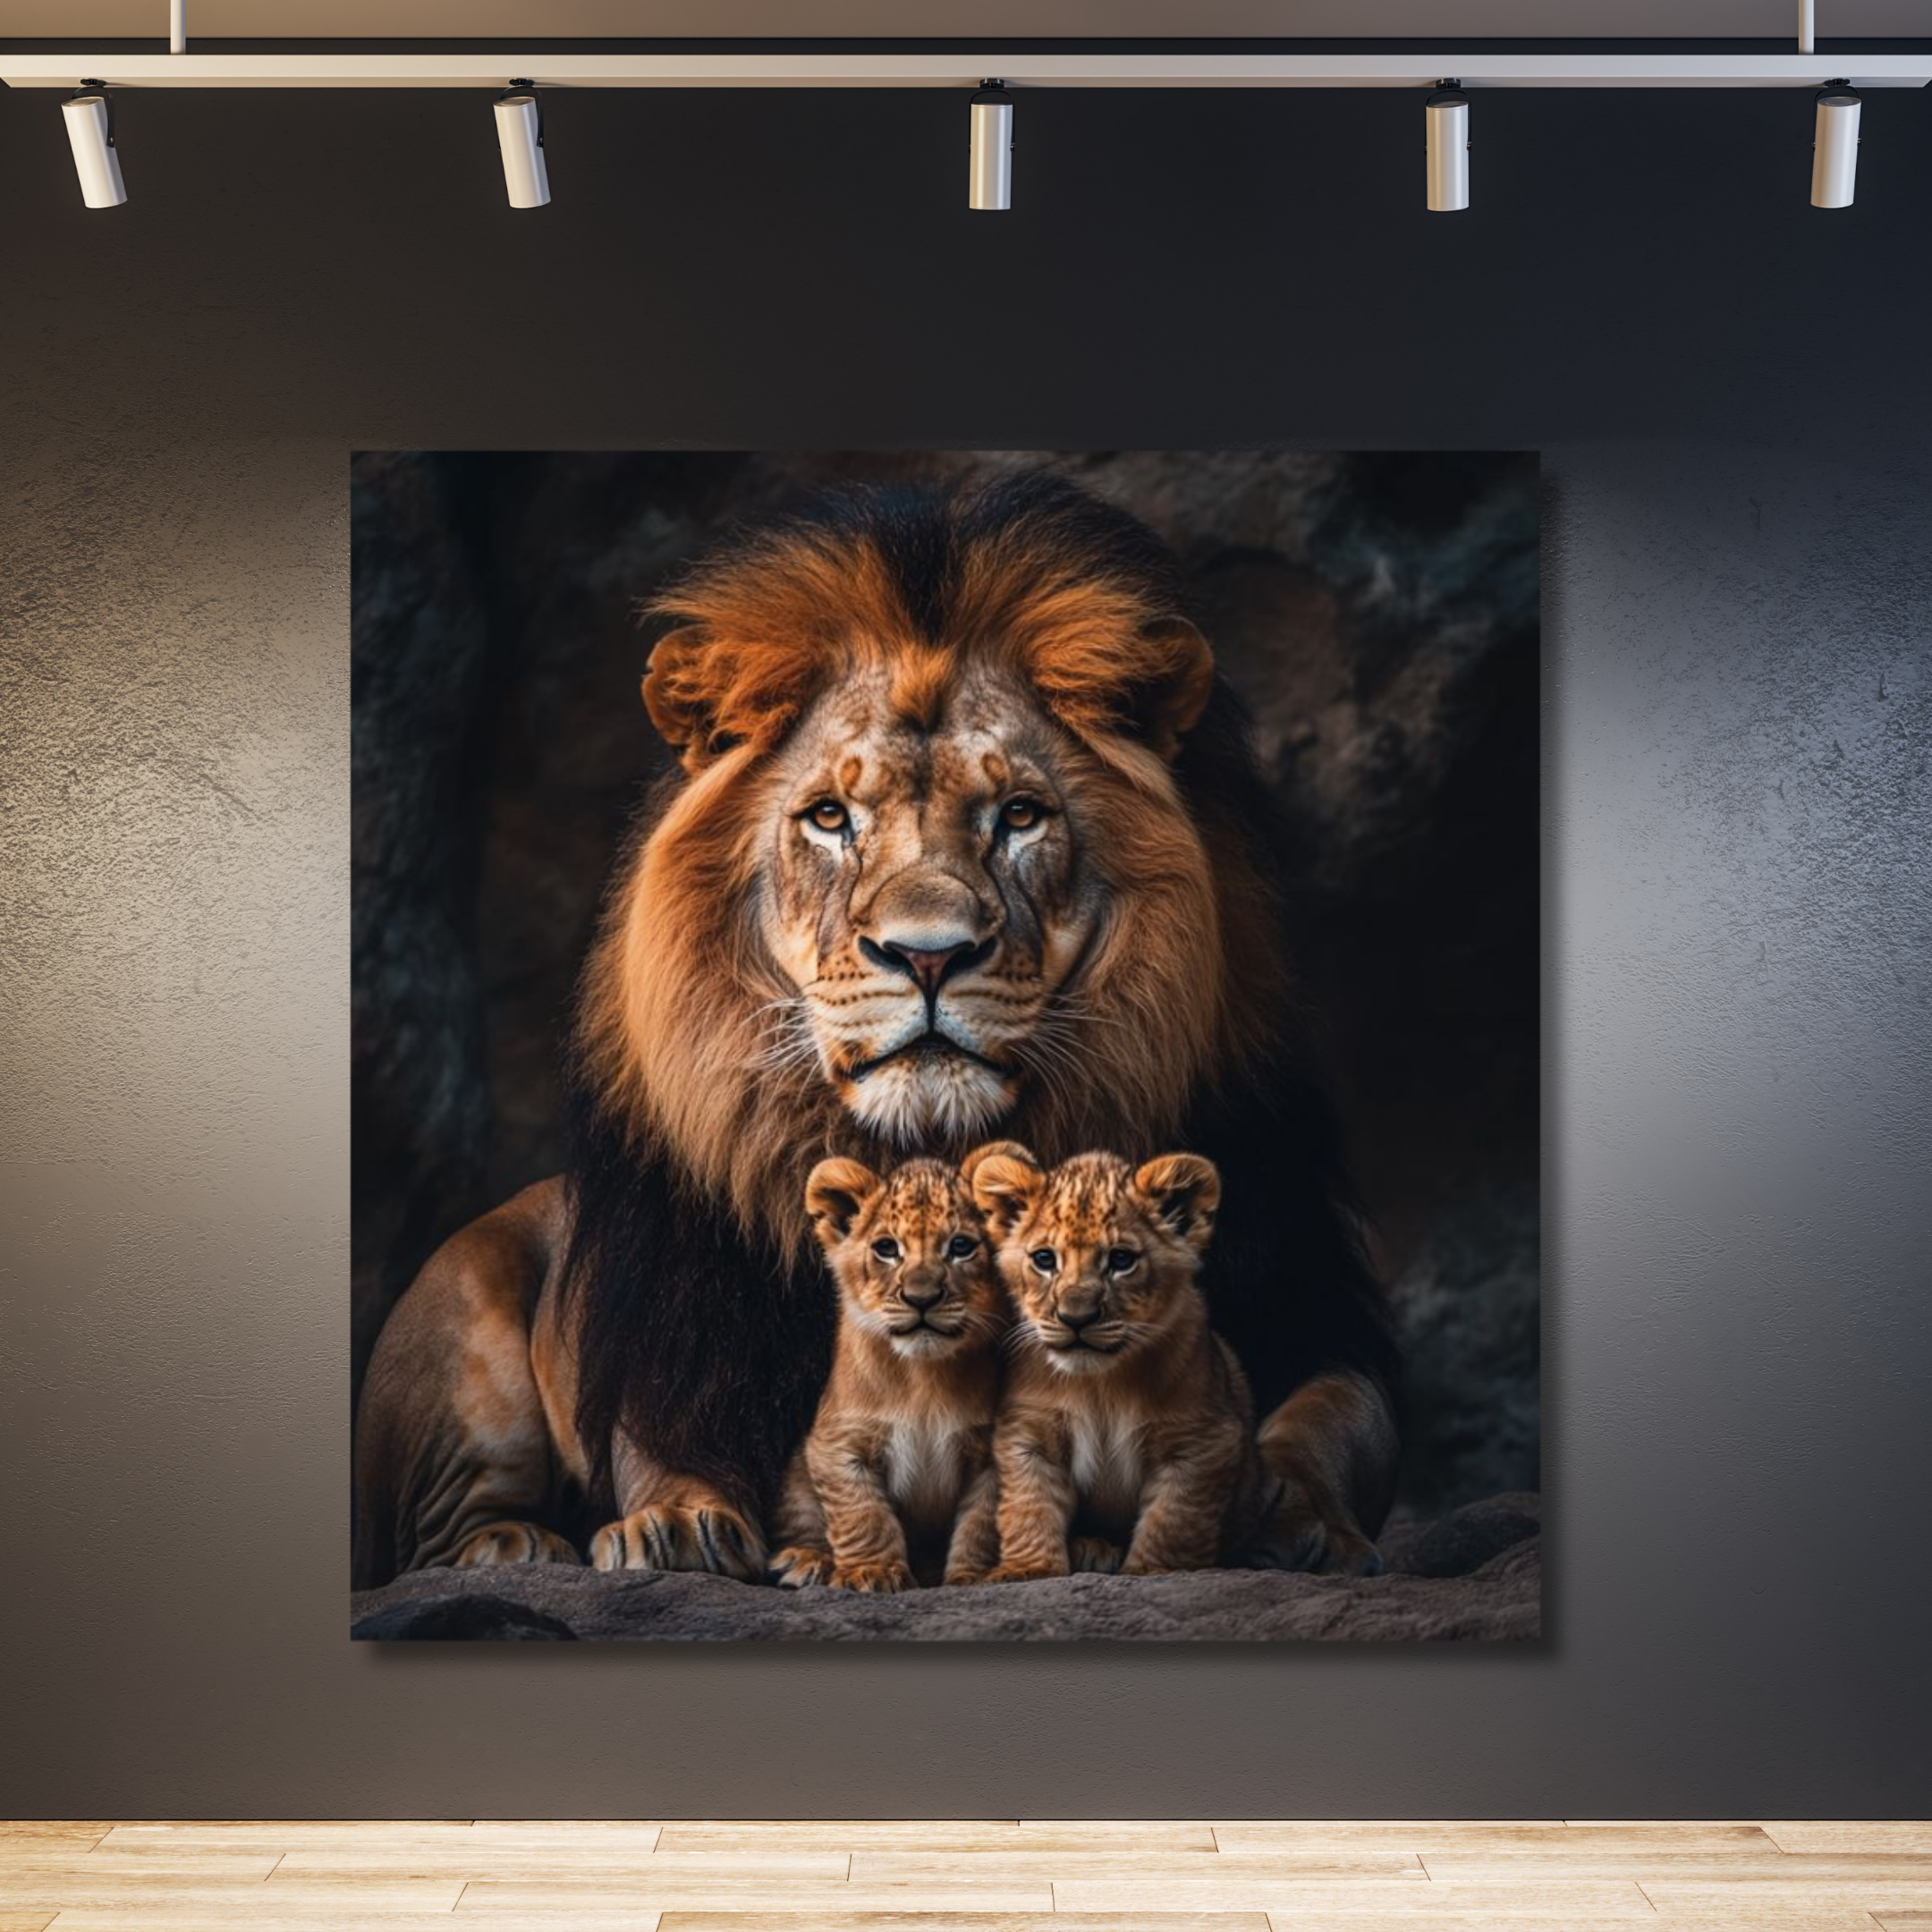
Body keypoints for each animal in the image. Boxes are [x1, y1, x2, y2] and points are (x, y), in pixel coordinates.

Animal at [766, 1155, 1011, 1593]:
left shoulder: (990, 1455)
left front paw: (973, 1577)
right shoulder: (837, 1444)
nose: (921, 1298)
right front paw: (873, 1571)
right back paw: (805, 1559)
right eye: (886, 1248)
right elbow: (864, 1515)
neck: (923, 1379)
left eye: (961, 1247)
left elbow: (980, 1524)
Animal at [968, 1143, 1264, 1579]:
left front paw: (1152, 1571)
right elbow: (1029, 1505)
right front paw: (1028, 1569)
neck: (1100, 1385)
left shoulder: (1204, 1439)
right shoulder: (1028, 1433)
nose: (1075, 1318)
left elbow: (1174, 1518)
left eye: (1121, 1260)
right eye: (1044, 1259)